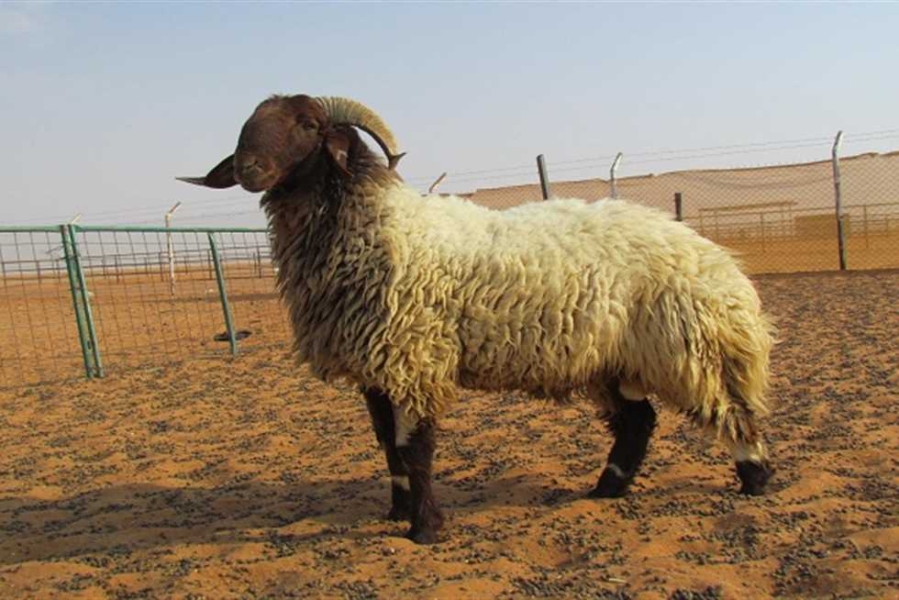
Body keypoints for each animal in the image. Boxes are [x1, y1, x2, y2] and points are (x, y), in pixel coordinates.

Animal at [178, 94, 776, 545]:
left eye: (307, 124)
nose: (249, 169)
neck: (380, 229)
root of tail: (711, 255)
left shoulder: (414, 359)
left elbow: (413, 448)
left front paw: (424, 529)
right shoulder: (376, 367)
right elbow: (386, 445)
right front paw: (397, 512)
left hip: (687, 348)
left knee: (730, 410)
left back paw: (756, 479)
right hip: (613, 358)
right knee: (639, 422)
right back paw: (607, 488)